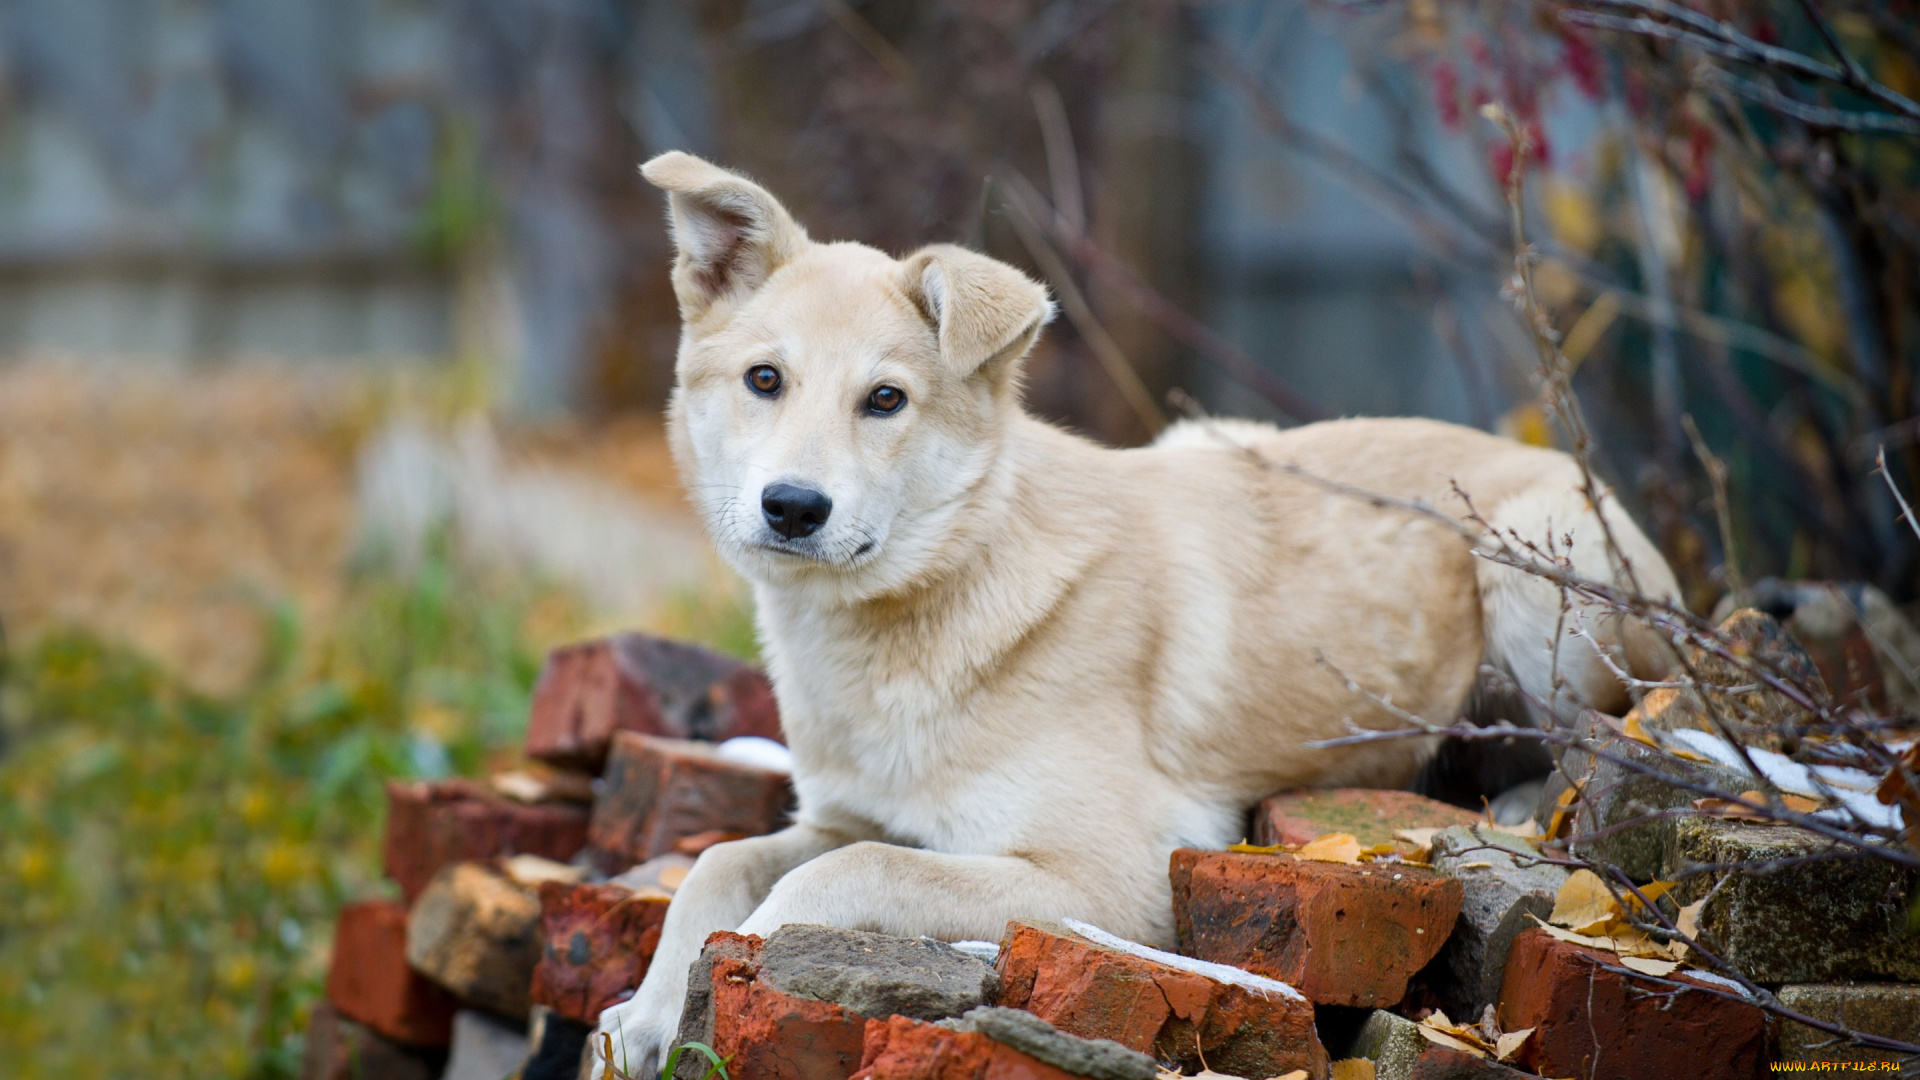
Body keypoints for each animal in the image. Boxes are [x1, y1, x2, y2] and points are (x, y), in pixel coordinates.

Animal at [591, 151, 1674, 1068]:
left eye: (886, 400)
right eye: (763, 380)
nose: (792, 508)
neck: (932, 598)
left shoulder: (1115, 880)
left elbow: (840, 875)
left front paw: (735, 964)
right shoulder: (848, 813)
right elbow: (720, 861)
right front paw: (647, 1015)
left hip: (1529, 571)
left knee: (1624, 728)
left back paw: (1530, 802)